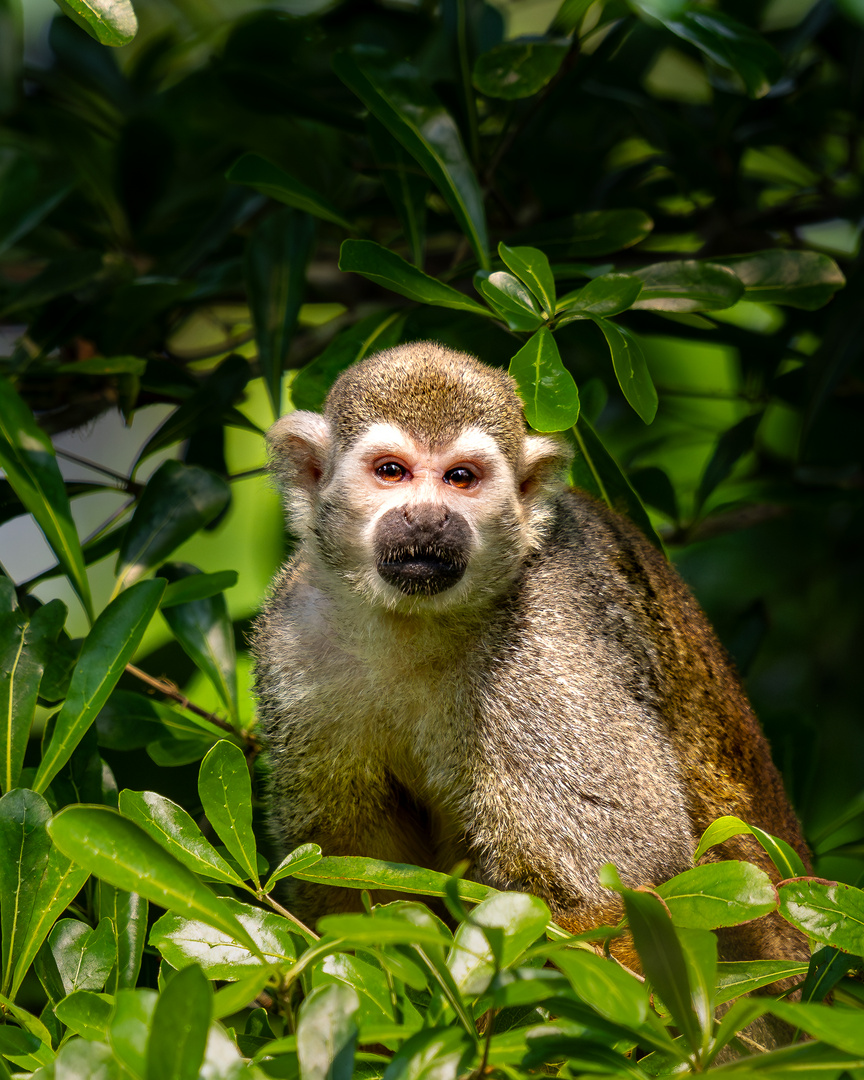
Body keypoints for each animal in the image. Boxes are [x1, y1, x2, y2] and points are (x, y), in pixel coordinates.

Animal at [251, 336, 812, 963]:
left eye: (461, 478)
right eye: (391, 472)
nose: (429, 518)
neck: (414, 625)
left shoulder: (545, 650)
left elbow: (615, 889)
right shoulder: (294, 638)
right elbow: (347, 877)